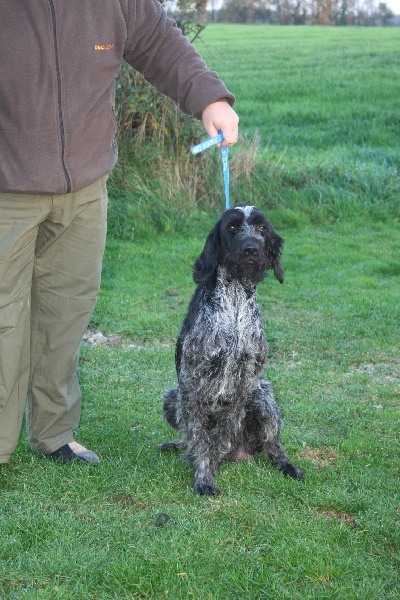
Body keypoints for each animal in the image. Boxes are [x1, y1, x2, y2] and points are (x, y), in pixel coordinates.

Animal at [158, 204, 302, 494]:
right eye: (232, 227)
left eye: (262, 228)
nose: (251, 249)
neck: (234, 304)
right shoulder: (191, 382)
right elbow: (199, 439)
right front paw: (204, 476)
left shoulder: (244, 383)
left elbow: (222, 435)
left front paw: (211, 464)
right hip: (171, 398)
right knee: (187, 436)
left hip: (263, 397)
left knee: (273, 445)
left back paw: (286, 465)